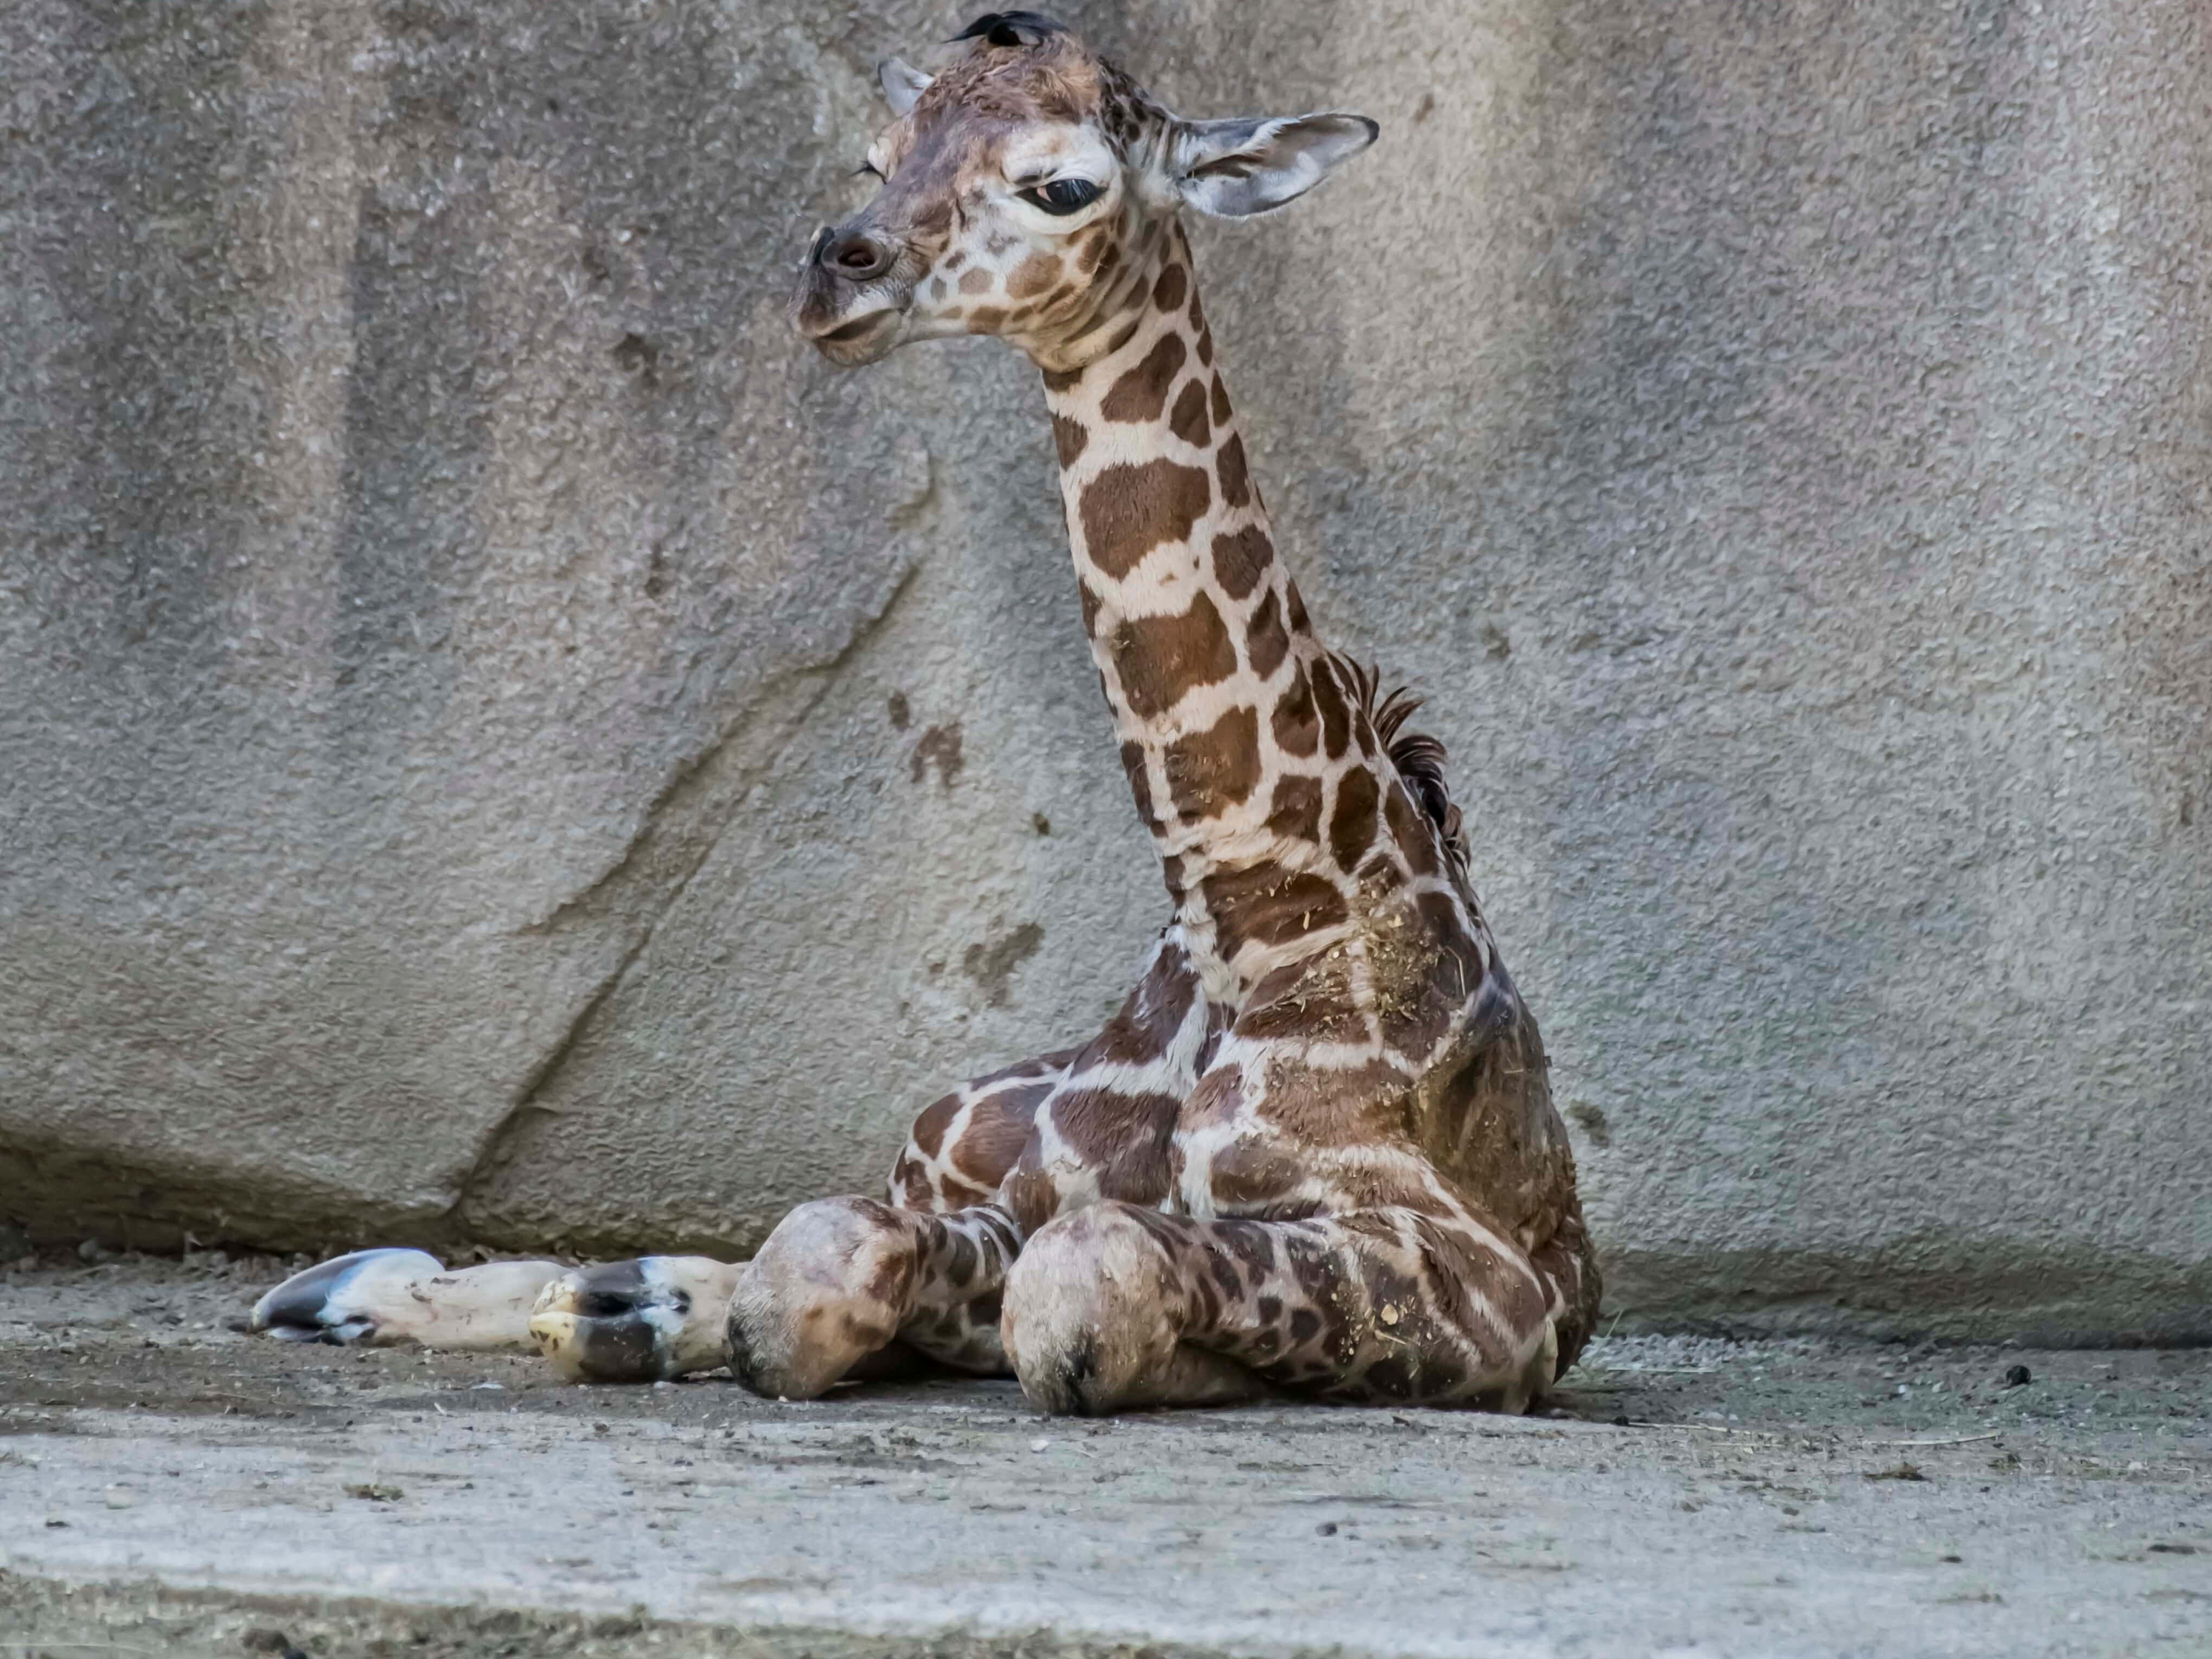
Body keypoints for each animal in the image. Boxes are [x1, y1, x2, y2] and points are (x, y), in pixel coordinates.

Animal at [250, 12, 1602, 1415]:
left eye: (1062, 185)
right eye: (878, 153)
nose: (834, 273)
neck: (1256, 905)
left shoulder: (1481, 1292)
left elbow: (1073, 1285)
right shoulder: (955, 1177)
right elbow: (822, 1258)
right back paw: (367, 1288)